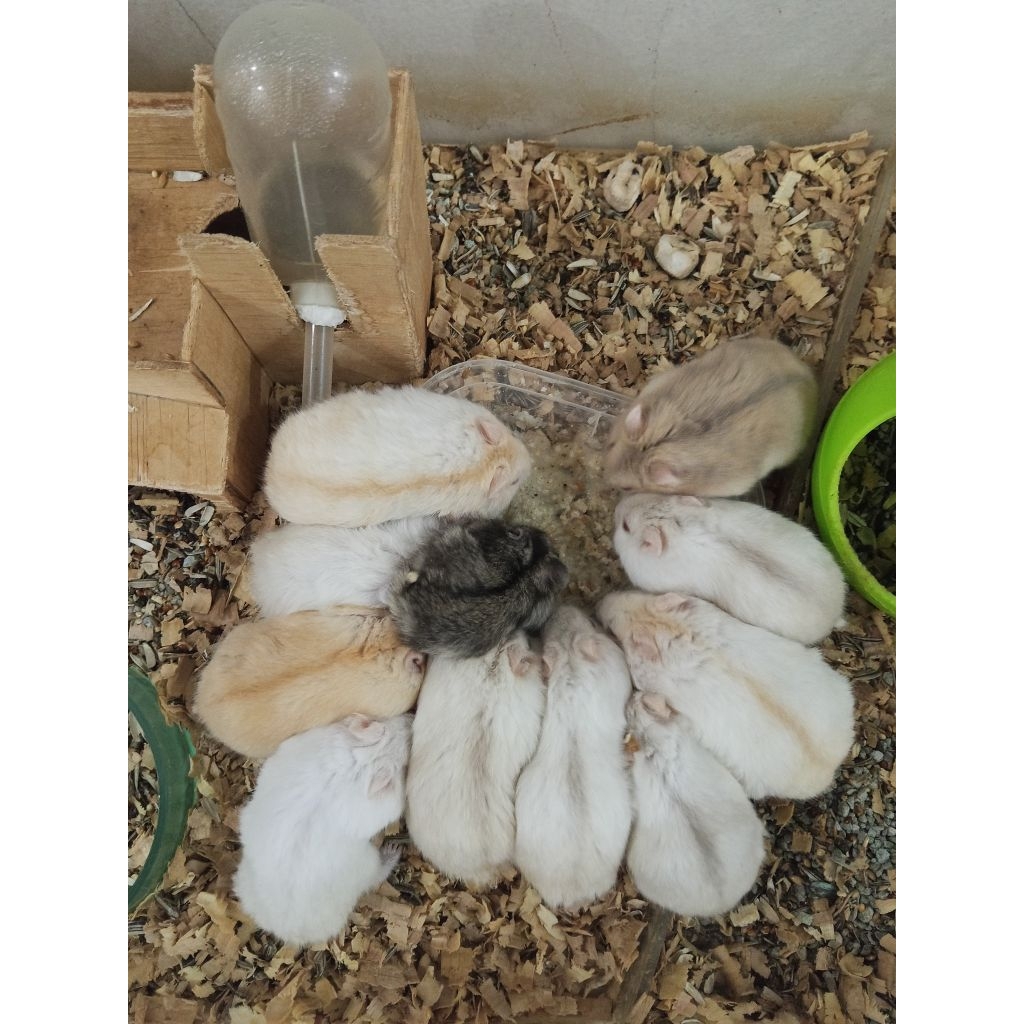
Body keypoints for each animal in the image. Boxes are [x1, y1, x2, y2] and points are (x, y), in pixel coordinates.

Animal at [233, 714, 411, 946]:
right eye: (404, 763)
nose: (411, 718)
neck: (362, 758)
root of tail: (282, 929)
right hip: (367, 864)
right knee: (377, 875)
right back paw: (393, 849)